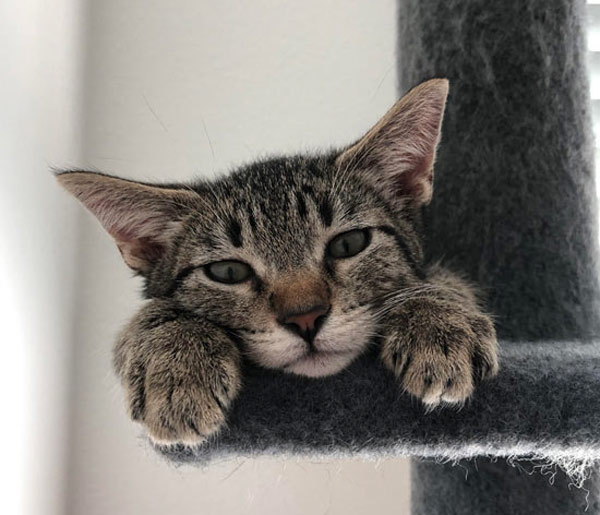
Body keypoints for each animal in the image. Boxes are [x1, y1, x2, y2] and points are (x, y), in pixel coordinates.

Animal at [57, 78, 496, 446]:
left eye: (349, 243)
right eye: (228, 272)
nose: (306, 318)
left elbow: (441, 280)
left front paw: (437, 321)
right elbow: (150, 315)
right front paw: (178, 360)